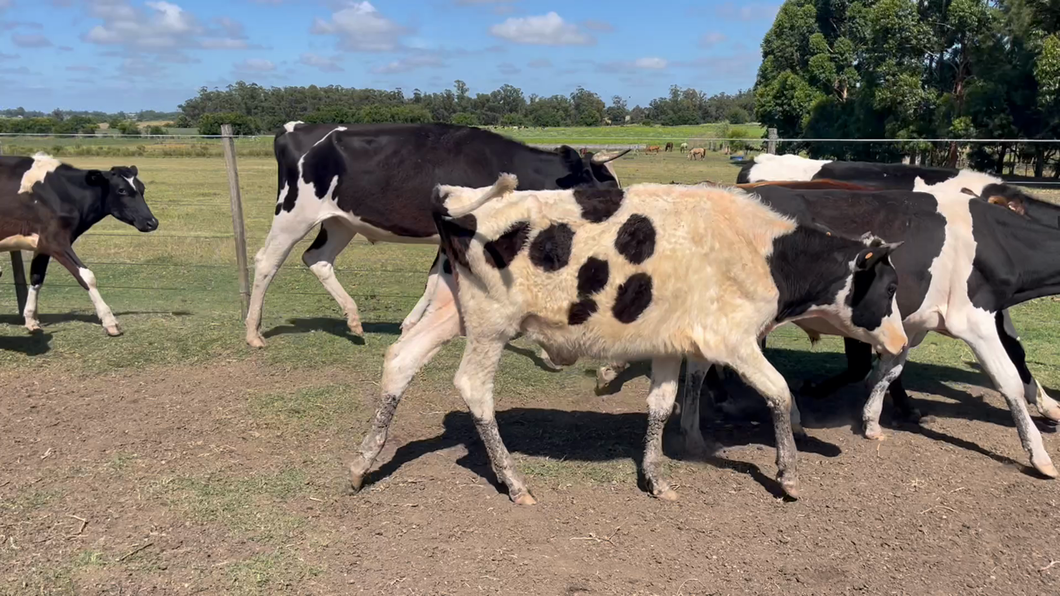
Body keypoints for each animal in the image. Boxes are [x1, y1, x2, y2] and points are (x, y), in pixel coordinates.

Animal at [0, 150, 156, 335]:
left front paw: (31, 320)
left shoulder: (43, 244)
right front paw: (110, 322)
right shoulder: (56, 241)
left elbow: (37, 277)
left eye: (142, 188)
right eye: (122, 190)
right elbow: (87, 276)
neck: (62, 193)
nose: (152, 222)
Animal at [245, 121, 627, 347]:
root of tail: (296, 128)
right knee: (267, 262)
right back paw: (253, 332)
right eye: (604, 185)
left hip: (341, 222)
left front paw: (413, 324)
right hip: (293, 214)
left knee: (318, 259)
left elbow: (434, 279)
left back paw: (353, 319)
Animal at [343, 174, 907, 500]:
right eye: (891, 286)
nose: (902, 343)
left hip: (448, 312)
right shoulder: (733, 341)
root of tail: (456, 200)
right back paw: (513, 480)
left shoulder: (670, 344)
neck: (761, 250)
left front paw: (656, 476)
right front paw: (788, 474)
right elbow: (779, 393)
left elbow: (660, 405)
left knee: (400, 360)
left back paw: (363, 462)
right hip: (489, 327)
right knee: (473, 389)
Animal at [674, 185, 1060, 477]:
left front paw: (872, 420)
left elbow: (890, 369)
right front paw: (1040, 455)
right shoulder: (974, 319)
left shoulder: (912, 324)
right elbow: (1009, 379)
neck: (993, 239)